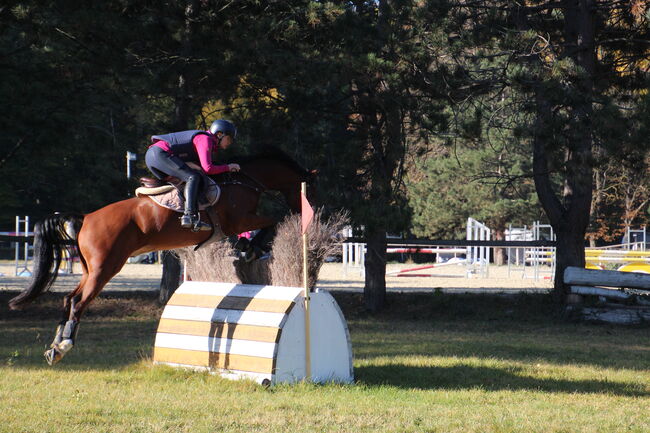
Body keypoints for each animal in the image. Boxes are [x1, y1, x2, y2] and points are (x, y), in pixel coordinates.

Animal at [8, 150, 316, 362]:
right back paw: (65, 345)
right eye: (305, 189)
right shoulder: (239, 221)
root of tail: (86, 218)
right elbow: (272, 221)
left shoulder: (240, 222)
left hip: (89, 269)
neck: (244, 180)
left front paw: (249, 247)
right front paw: (251, 248)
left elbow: (268, 223)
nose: (305, 212)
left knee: (69, 298)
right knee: (79, 301)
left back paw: (55, 347)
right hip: (105, 268)